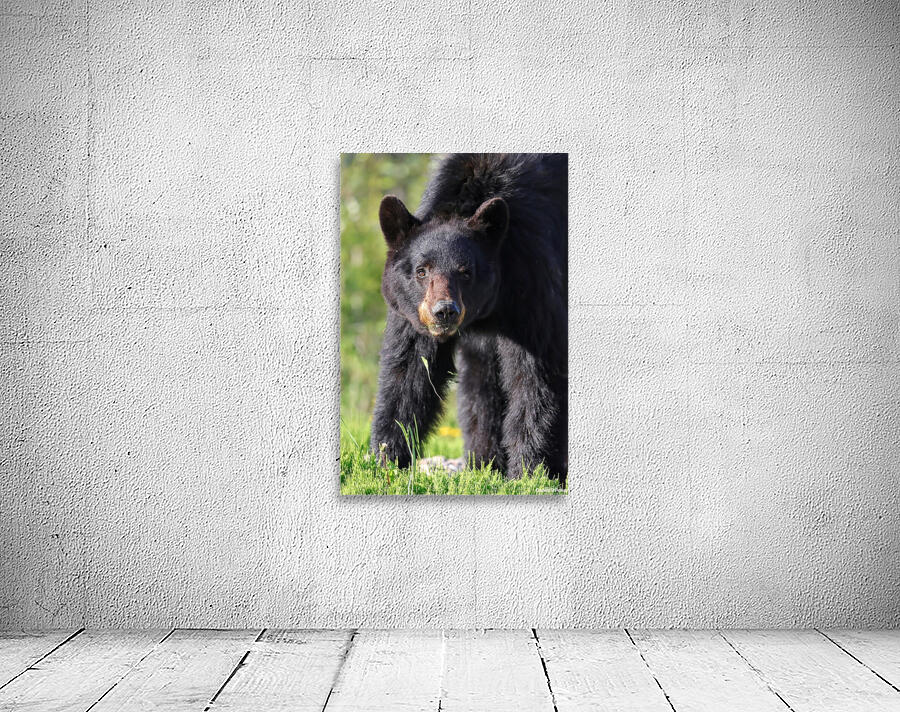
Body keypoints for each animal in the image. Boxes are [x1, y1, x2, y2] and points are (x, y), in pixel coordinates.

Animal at [369, 153, 568, 483]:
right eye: (421, 271)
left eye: (465, 271)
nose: (444, 311)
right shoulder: (411, 312)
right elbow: (409, 374)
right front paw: (387, 461)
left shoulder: (532, 280)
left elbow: (535, 376)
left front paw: (529, 471)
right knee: (480, 382)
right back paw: (484, 463)